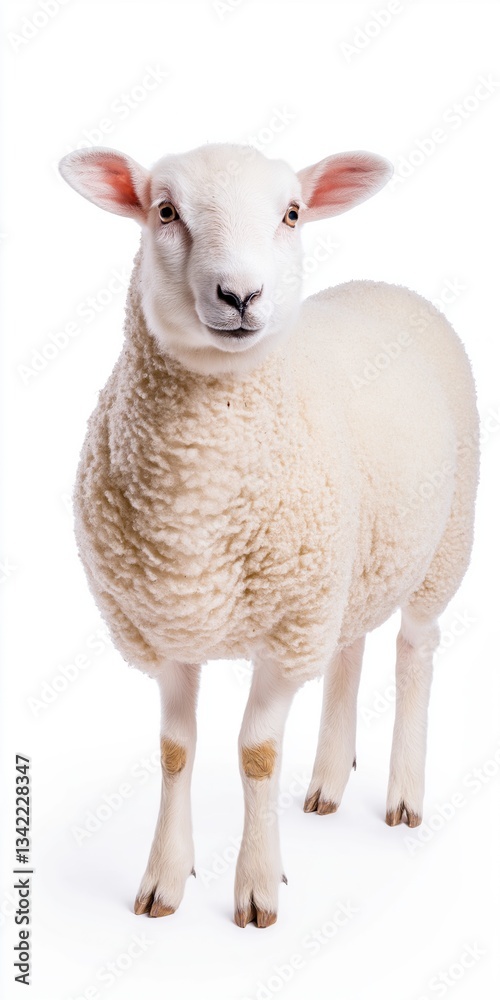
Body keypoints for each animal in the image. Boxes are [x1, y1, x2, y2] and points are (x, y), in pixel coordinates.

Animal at [59, 141, 479, 929]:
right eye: (166, 211)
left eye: (291, 214)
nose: (240, 296)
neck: (198, 503)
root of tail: (387, 285)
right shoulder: (162, 627)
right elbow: (174, 750)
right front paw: (163, 881)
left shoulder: (287, 633)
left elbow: (255, 752)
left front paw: (256, 887)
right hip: (350, 564)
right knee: (350, 651)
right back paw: (327, 784)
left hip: (444, 541)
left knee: (415, 651)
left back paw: (403, 794)